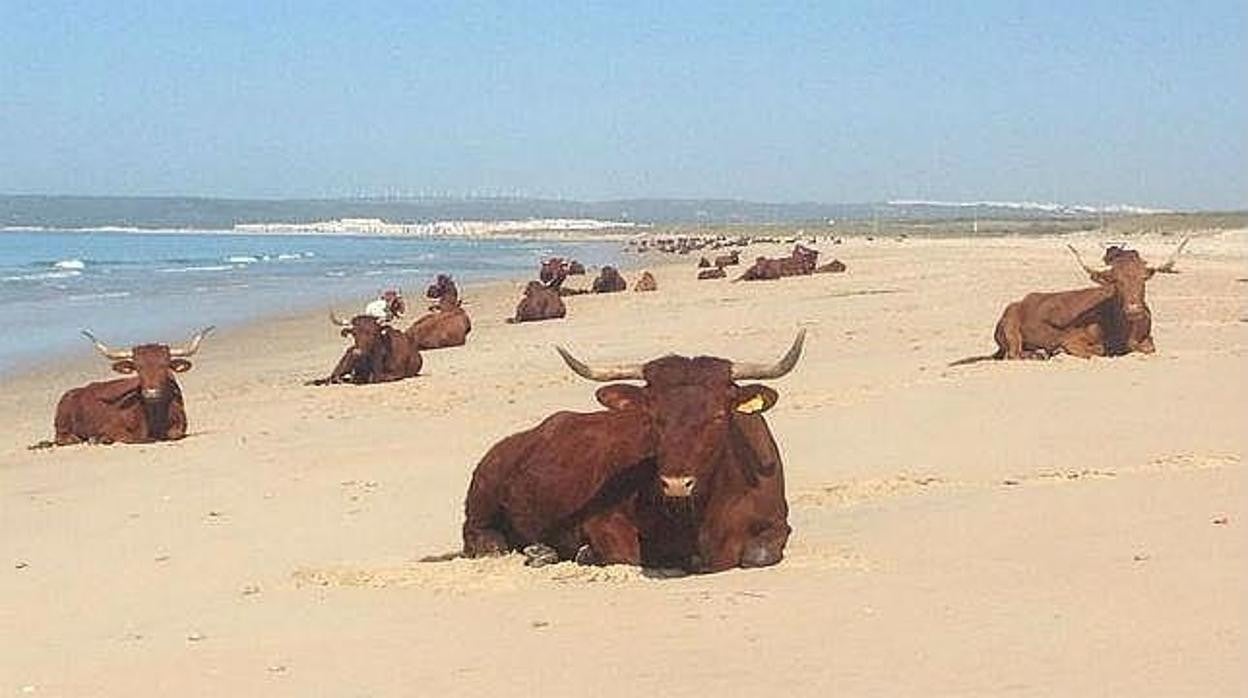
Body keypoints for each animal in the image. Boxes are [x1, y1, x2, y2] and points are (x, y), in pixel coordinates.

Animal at [456, 332, 798, 574]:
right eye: (652, 416)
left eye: (717, 416)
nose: (676, 483)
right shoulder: (602, 520)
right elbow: (627, 555)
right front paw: (585, 553)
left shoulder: (777, 523)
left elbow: (759, 554)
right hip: (483, 494)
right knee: (480, 534)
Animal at [953, 237, 1188, 362]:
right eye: (1116, 281)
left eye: (1143, 279)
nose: (1133, 309)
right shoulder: (1071, 340)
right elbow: (1097, 351)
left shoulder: (1147, 341)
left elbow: (1148, 348)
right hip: (1011, 328)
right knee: (1014, 354)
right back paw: (1040, 353)